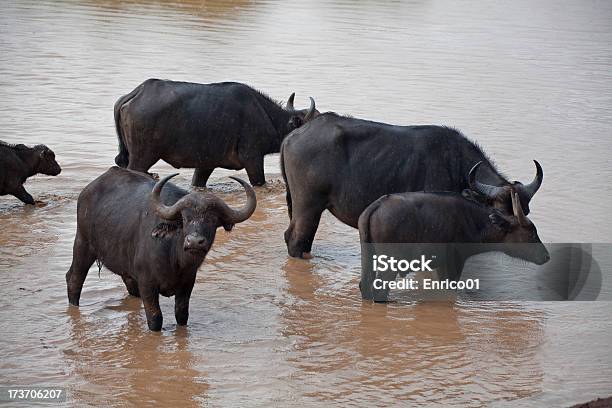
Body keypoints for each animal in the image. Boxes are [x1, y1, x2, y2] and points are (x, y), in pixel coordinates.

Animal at [65, 168, 256, 332]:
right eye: (185, 219)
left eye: (212, 220)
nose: (194, 242)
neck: (175, 259)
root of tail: (87, 191)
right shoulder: (147, 284)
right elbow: (155, 318)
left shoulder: (187, 284)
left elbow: (182, 315)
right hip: (83, 244)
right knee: (74, 279)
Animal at [280, 111, 544, 258]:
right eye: (498, 211)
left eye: (524, 211)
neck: (456, 167)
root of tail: (293, 135)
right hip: (309, 205)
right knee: (296, 238)